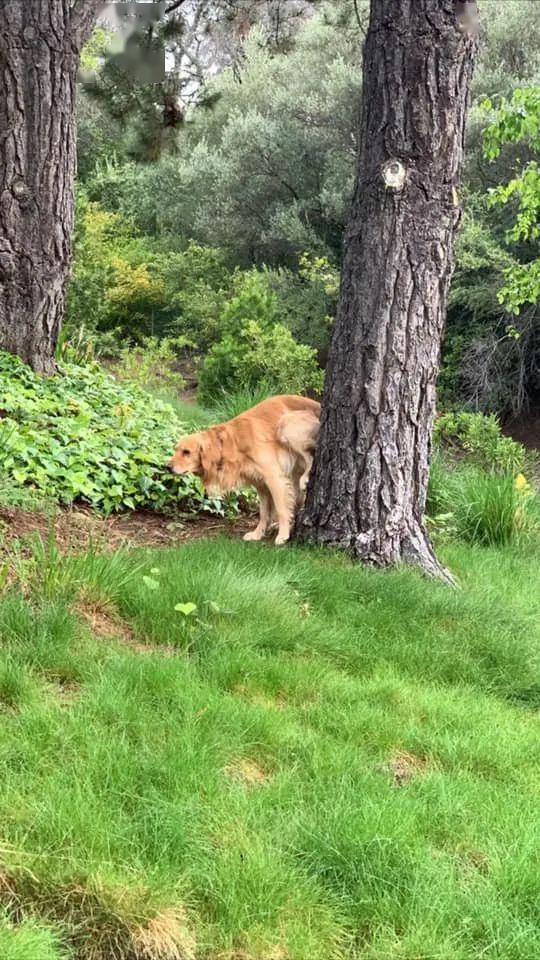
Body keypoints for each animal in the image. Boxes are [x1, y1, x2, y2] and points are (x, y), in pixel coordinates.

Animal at [168, 394, 320, 544]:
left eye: (186, 452)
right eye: (176, 450)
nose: (167, 467)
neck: (230, 444)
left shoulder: (274, 478)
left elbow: (281, 509)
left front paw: (283, 535)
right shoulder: (261, 485)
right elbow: (264, 513)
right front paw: (258, 534)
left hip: (286, 425)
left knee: (311, 456)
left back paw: (305, 479)